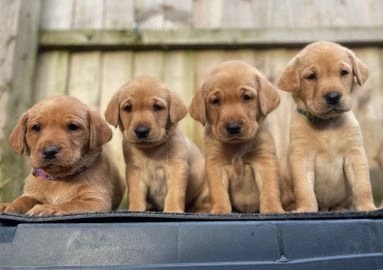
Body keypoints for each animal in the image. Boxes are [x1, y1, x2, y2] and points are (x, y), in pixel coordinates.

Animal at [104, 76, 210, 213]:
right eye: (127, 108)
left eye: (157, 107)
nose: (141, 131)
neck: (152, 151)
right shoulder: (135, 172)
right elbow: (135, 195)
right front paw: (135, 209)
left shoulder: (177, 169)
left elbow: (174, 193)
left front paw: (173, 210)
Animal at [190, 60, 284, 214]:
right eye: (215, 101)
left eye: (246, 97)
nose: (233, 127)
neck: (237, 146)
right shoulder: (215, 165)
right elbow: (218, 192)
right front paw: (220, 210)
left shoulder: (265, 161)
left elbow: (269, 189)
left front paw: (272, 208)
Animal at [278, 41, 376, 212]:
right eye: (311, 76)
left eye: (344, 72)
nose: (333, 97)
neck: (327, 126)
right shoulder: (302, 158)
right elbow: (304, 189)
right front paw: (306, 209)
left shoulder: (355, 155)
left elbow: (363, 186)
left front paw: (367, 207)